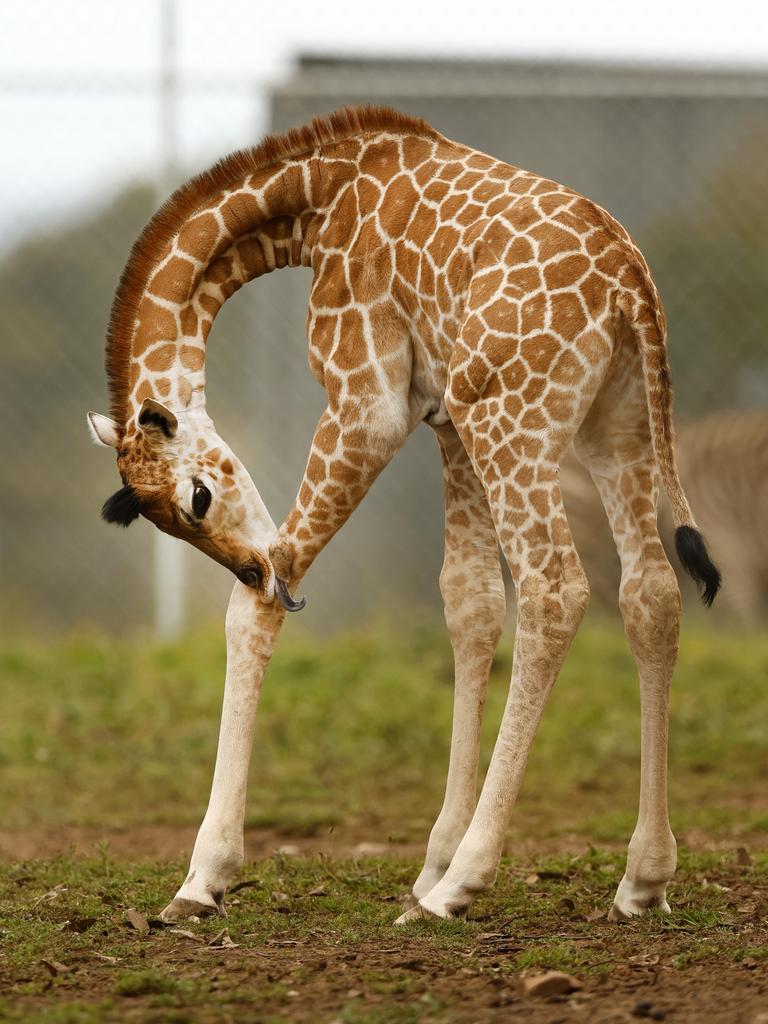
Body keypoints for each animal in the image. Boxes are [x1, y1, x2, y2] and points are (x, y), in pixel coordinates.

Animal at [88, 108, 720, 925]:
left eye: (197, 498)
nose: (252, 564)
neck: (316, 200)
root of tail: (630, 286)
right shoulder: (444, 418)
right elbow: (470, 603)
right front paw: (429, 863)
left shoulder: (370, 404)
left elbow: (255, 609)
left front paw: (204, 877)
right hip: (617, 424)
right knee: (651, 592)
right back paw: (643, 877)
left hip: (510, 417)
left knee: (555, 589)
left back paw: (468, 882)